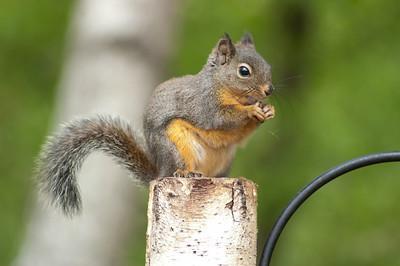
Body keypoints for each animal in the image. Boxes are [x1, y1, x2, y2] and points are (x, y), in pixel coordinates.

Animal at [36, 33, 276, 216]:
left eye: (268, 66)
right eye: (244, 71)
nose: (269, 90)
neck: (222, 86)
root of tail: (160, 171)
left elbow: (239, 136)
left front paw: (268, 110)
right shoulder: (204, 104)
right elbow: (221, 119)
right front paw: (252, 110)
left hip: (225, 159)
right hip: (176, 145)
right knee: (178, 168)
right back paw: (185, 173)